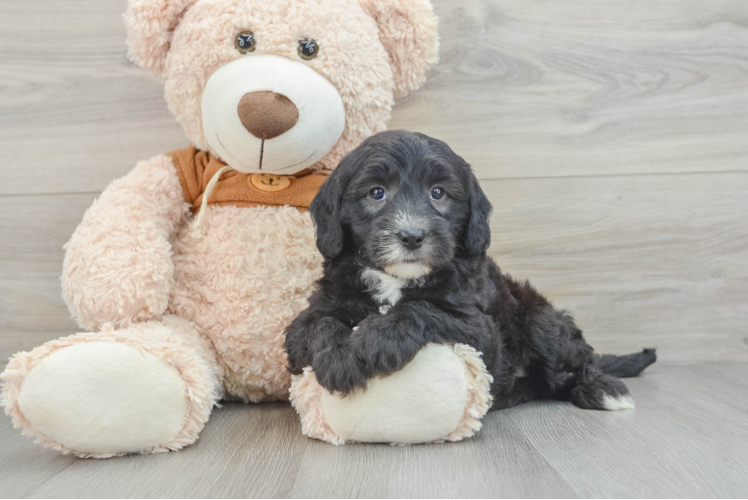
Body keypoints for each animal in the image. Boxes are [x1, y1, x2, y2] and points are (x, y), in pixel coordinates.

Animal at [284, 131, 656, 412]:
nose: (412, 236)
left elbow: (423, 307)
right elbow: (319, 325)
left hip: (539, 320)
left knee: (578, 359)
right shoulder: (310, 316)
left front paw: (380, 336)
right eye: (377, 193)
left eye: (438, 193)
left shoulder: (481, 329)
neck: (397, 279)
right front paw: (338, 358)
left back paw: (602, 389)